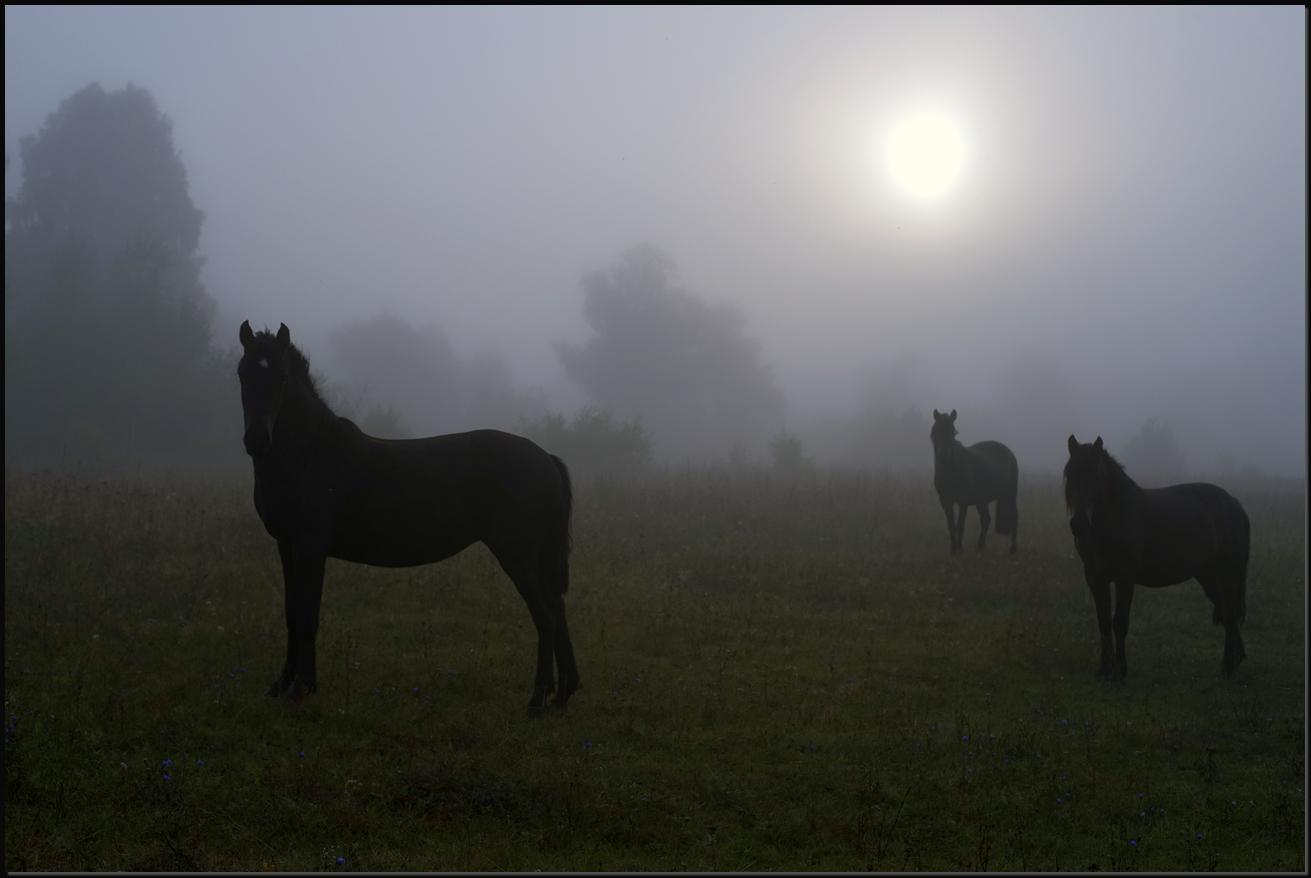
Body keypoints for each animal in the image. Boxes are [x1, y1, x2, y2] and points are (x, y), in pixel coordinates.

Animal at [237, 319, 584, 718]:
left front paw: (301, 687)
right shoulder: (287, 546)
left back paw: (537, 700)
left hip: (518, 555)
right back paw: (563, 692)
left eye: (281, 378)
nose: (256, 439)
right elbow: (292, 614)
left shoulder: (310, 548)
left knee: (545, 614)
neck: (309, 454)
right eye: (242, 373)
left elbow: (308, 616)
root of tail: (547, 458)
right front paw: (280, 684)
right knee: (558, 607)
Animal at [928, 408, 1017, 553]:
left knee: (1014, 516)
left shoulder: (963, 501)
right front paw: (953, 551)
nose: (944, 455)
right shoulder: (945, 501)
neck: (951, 470)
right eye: (935, 432)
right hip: (982, 500)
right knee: (986, 519)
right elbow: (951, 525)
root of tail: (1009, 452)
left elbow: (960, 526)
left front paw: (959, 552)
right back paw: (979, 547)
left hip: (1011, 494)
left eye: (953, 433)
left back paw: (1013, 548)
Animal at [1064, 437, 1248, 686]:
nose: (1080, 524)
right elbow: (1103, 623)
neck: (1116, 517)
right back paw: (1235, 662)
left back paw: (1226, 668)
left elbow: (1119, 623)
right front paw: (1103, 670)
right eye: (1070, 475)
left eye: (1097, 477)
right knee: (1229, 615)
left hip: (1228, 577)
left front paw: (1119, 672)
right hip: (1209, 578)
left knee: (1229, 615)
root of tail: (1234, 503)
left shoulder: (1125, 578)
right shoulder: (1095, 578)